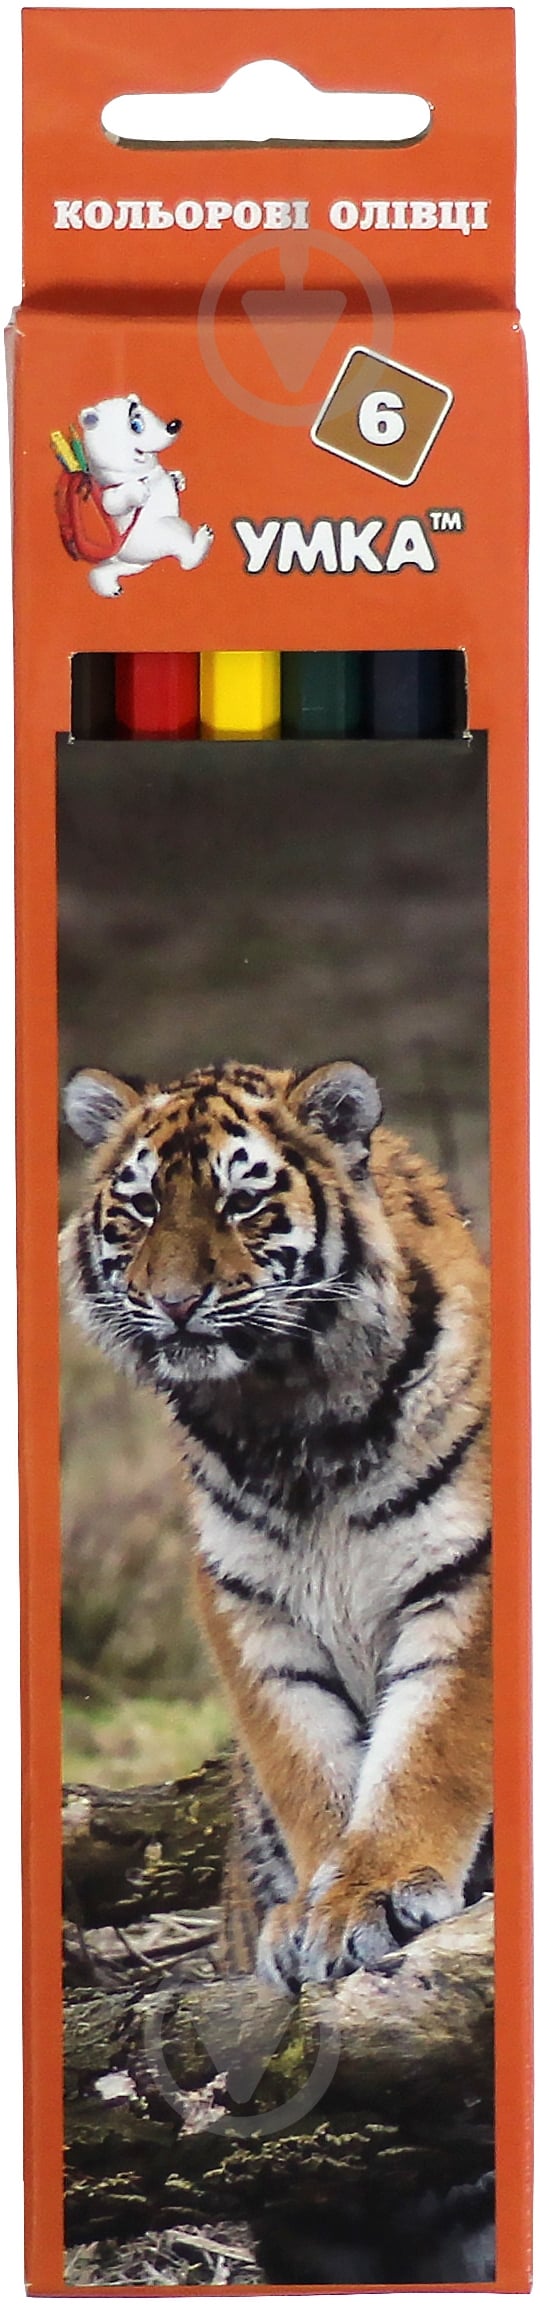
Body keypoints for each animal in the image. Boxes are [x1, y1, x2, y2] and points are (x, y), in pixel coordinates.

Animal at [62, 1056, 492, 1989]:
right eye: (141, 1207)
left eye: (240, 1202)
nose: (175, 1303)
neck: (286, 1416)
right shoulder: (252, 1604)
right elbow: (309, 1762)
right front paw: (316, 1908)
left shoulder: (466, 1577)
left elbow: (428, 1749)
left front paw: (374, 1892)